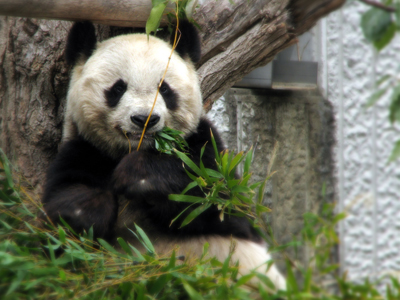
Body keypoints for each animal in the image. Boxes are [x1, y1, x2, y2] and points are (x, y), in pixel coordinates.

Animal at [42, 20, 286, 288]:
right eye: (118, 88)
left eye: (165, 89)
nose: (144, 119)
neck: (141, 148)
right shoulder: (85, 149)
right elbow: (60, 204)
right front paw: (93, 207)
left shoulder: (205, 145)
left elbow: (220, 203)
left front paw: (139, 175)